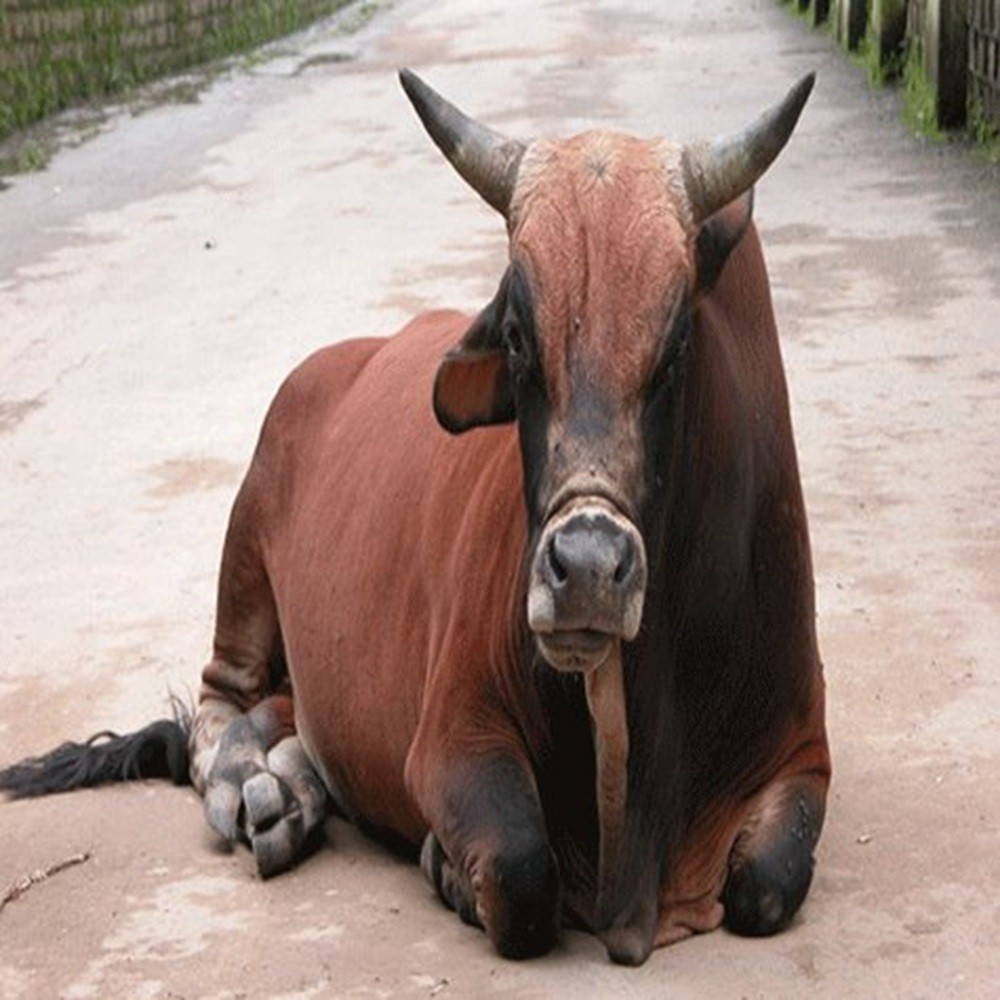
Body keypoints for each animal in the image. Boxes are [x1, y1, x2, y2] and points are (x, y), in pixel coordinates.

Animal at [1, 69, 831, 966]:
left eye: (675, 347)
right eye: (518, 336)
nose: (585, 570)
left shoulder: (805, 751)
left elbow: (768, 881)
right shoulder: (451, 739)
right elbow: (520, 871)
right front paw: (448, 869)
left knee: (285, 715)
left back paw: (288, 792)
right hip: (243, 548)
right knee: (221, 701)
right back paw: (246, 788)